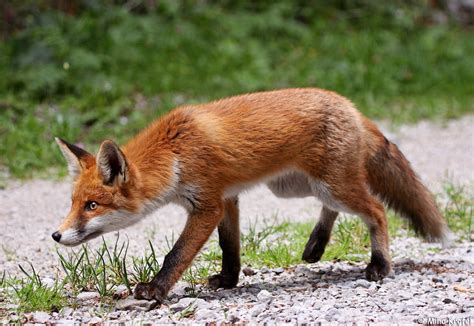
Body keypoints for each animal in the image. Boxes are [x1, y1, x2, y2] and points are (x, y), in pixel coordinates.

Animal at [52, 88, 452, 304]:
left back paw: (380, 264)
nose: (56, 235)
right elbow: (230, 247)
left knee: (377, 209)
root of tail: (351, 106)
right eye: (72, 204)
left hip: (331, 186)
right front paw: (228, 281)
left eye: (92, 205)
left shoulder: (207, 205)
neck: (175, 153)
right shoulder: (227, 199)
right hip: (299, 188)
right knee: (337, 209)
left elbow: (177, 254)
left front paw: (155, 289)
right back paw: (316, 245)